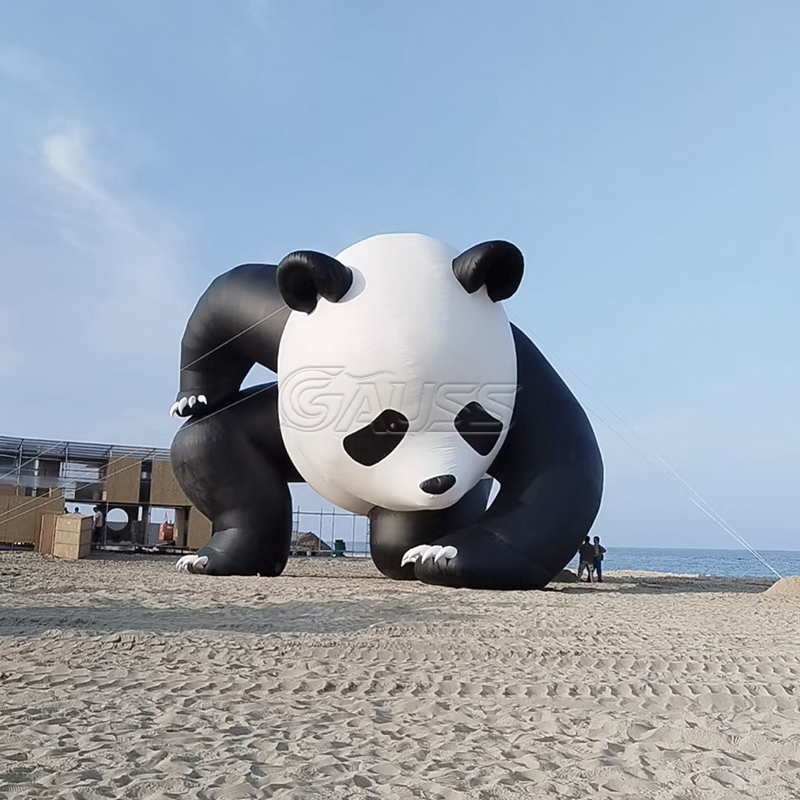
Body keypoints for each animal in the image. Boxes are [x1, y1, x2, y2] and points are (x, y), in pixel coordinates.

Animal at [169, 234, 603, 590]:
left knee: (399, 540)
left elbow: (562, 469)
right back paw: (224, 558)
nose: (439, 482)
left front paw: (445, 555)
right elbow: (226, 297)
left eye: (475, 421)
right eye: (385, 428)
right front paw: (193, 398)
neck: (398, 266)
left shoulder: (520, 368)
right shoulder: (287, 322)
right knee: (204, 439)